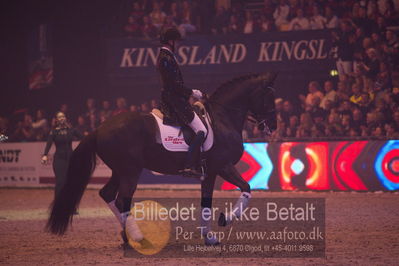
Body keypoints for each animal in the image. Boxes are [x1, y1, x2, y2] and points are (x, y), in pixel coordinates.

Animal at [47, 71, 276, 245]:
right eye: (269, 97)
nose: (272, 127)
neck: (222, 119)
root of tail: (99, 128)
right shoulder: (223, 166)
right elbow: (246, 187)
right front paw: (225, 219)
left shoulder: (209, 173)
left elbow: (206, 203)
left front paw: (209, 237)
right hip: (130, 171)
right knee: (122, 199)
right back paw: (137, 237)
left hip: (119, 171)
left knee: (107, 194)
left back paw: (127, 236)